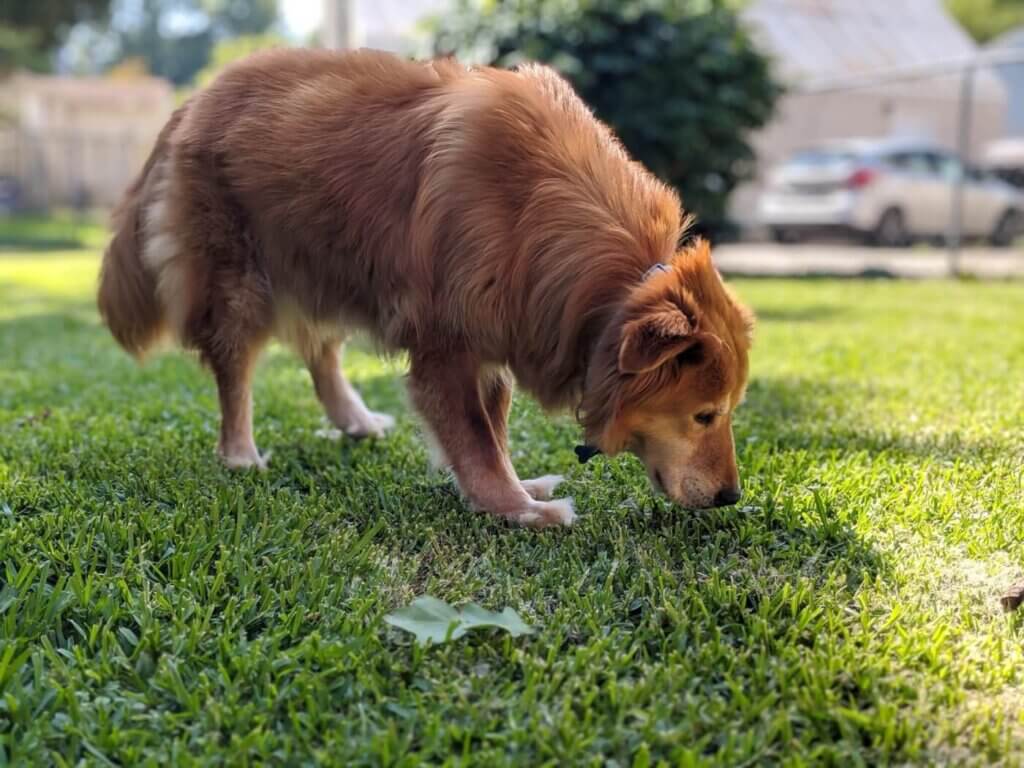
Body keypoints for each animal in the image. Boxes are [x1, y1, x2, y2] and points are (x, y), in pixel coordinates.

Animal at [96, 48, 753, 528]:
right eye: (704, 415)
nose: (731, 498)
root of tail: (194, 100)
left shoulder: (498, 337)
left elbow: (494, 433)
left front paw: (522, 486)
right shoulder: (447, 348)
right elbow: (477, 441)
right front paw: (519, 509)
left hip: (326, 262)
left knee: (320, 350)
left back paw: (354, 421)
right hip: (240, 284)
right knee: (236, 374)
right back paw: (239, 455)